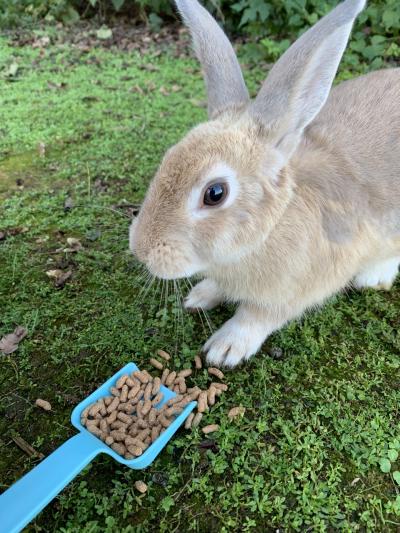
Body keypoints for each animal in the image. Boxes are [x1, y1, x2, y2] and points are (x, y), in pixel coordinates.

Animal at [129, 0, 400, 366]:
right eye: (168, 158)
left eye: (215, 193)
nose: (141, 250)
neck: (265, 233)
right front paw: (200, 295)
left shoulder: (296, 289)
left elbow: (258, 315)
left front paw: (225, 348)